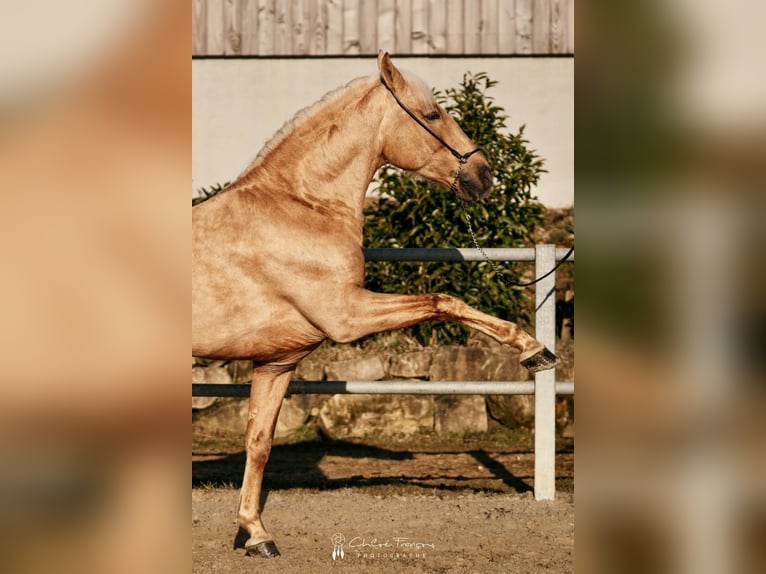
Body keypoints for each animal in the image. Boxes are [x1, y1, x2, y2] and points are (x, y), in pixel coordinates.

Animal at [192, 53, 560, 560]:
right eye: (432, 115)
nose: (483, 176)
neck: (302, 207)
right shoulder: (348, 315)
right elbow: (443, 300)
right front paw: (535, 350)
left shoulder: (276, 363)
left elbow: (259, 443)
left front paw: (257, 534)